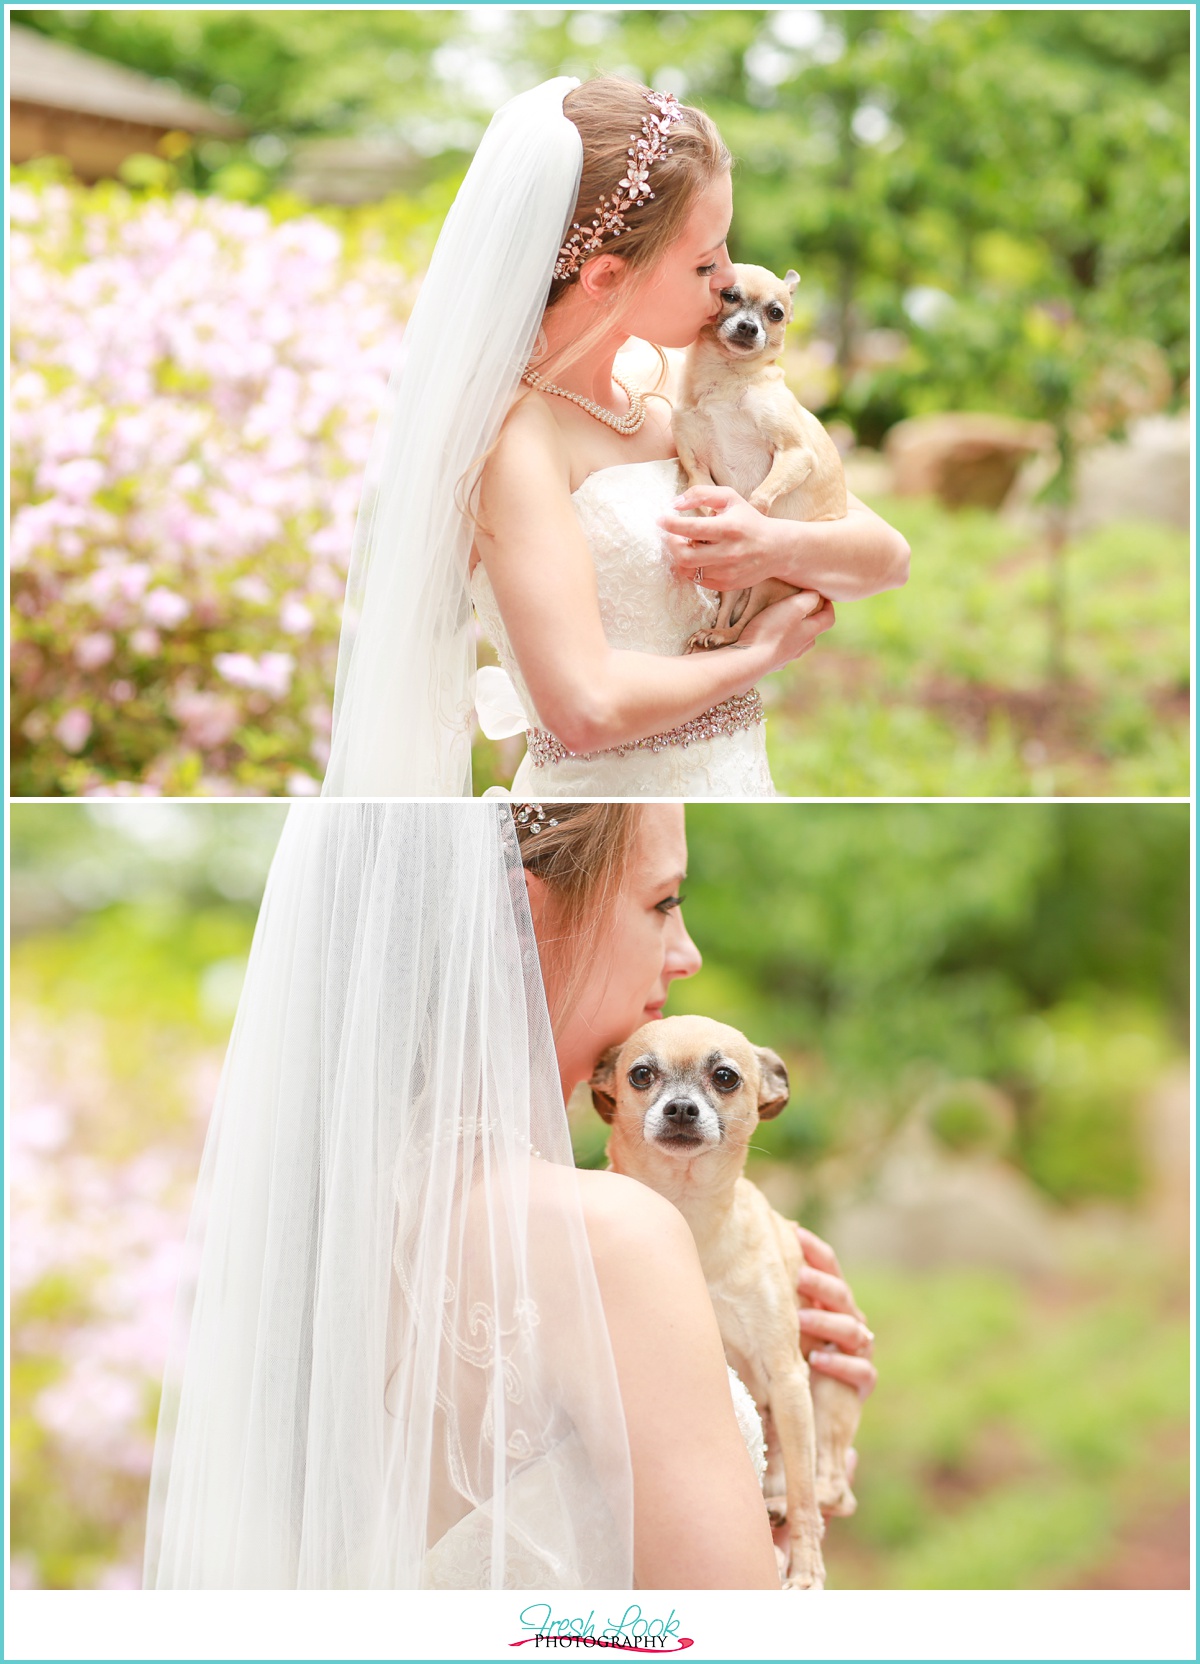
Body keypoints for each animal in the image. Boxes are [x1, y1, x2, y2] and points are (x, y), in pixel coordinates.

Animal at [592, 1005, 858, 1590]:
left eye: (725, 1077)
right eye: (640, 1075)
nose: (681, 1107)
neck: (689, 1212)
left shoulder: (787, 1376)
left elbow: (807, 1498)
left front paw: (806, 1566)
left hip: (826, 1385)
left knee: (826, 1485)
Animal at [672, 262, 842, 652]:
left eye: (775, 313)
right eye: (728, 295)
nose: (750, 327)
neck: (725, 379)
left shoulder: (795, 453)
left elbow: (760, 496)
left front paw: (748, 517)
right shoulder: (697, 469)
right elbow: (706, 501)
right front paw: (709, 528)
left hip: (769, 577)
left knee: (744, 625)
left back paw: (724, 634)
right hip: (735, 580)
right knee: (731, 607)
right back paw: (713, 632)